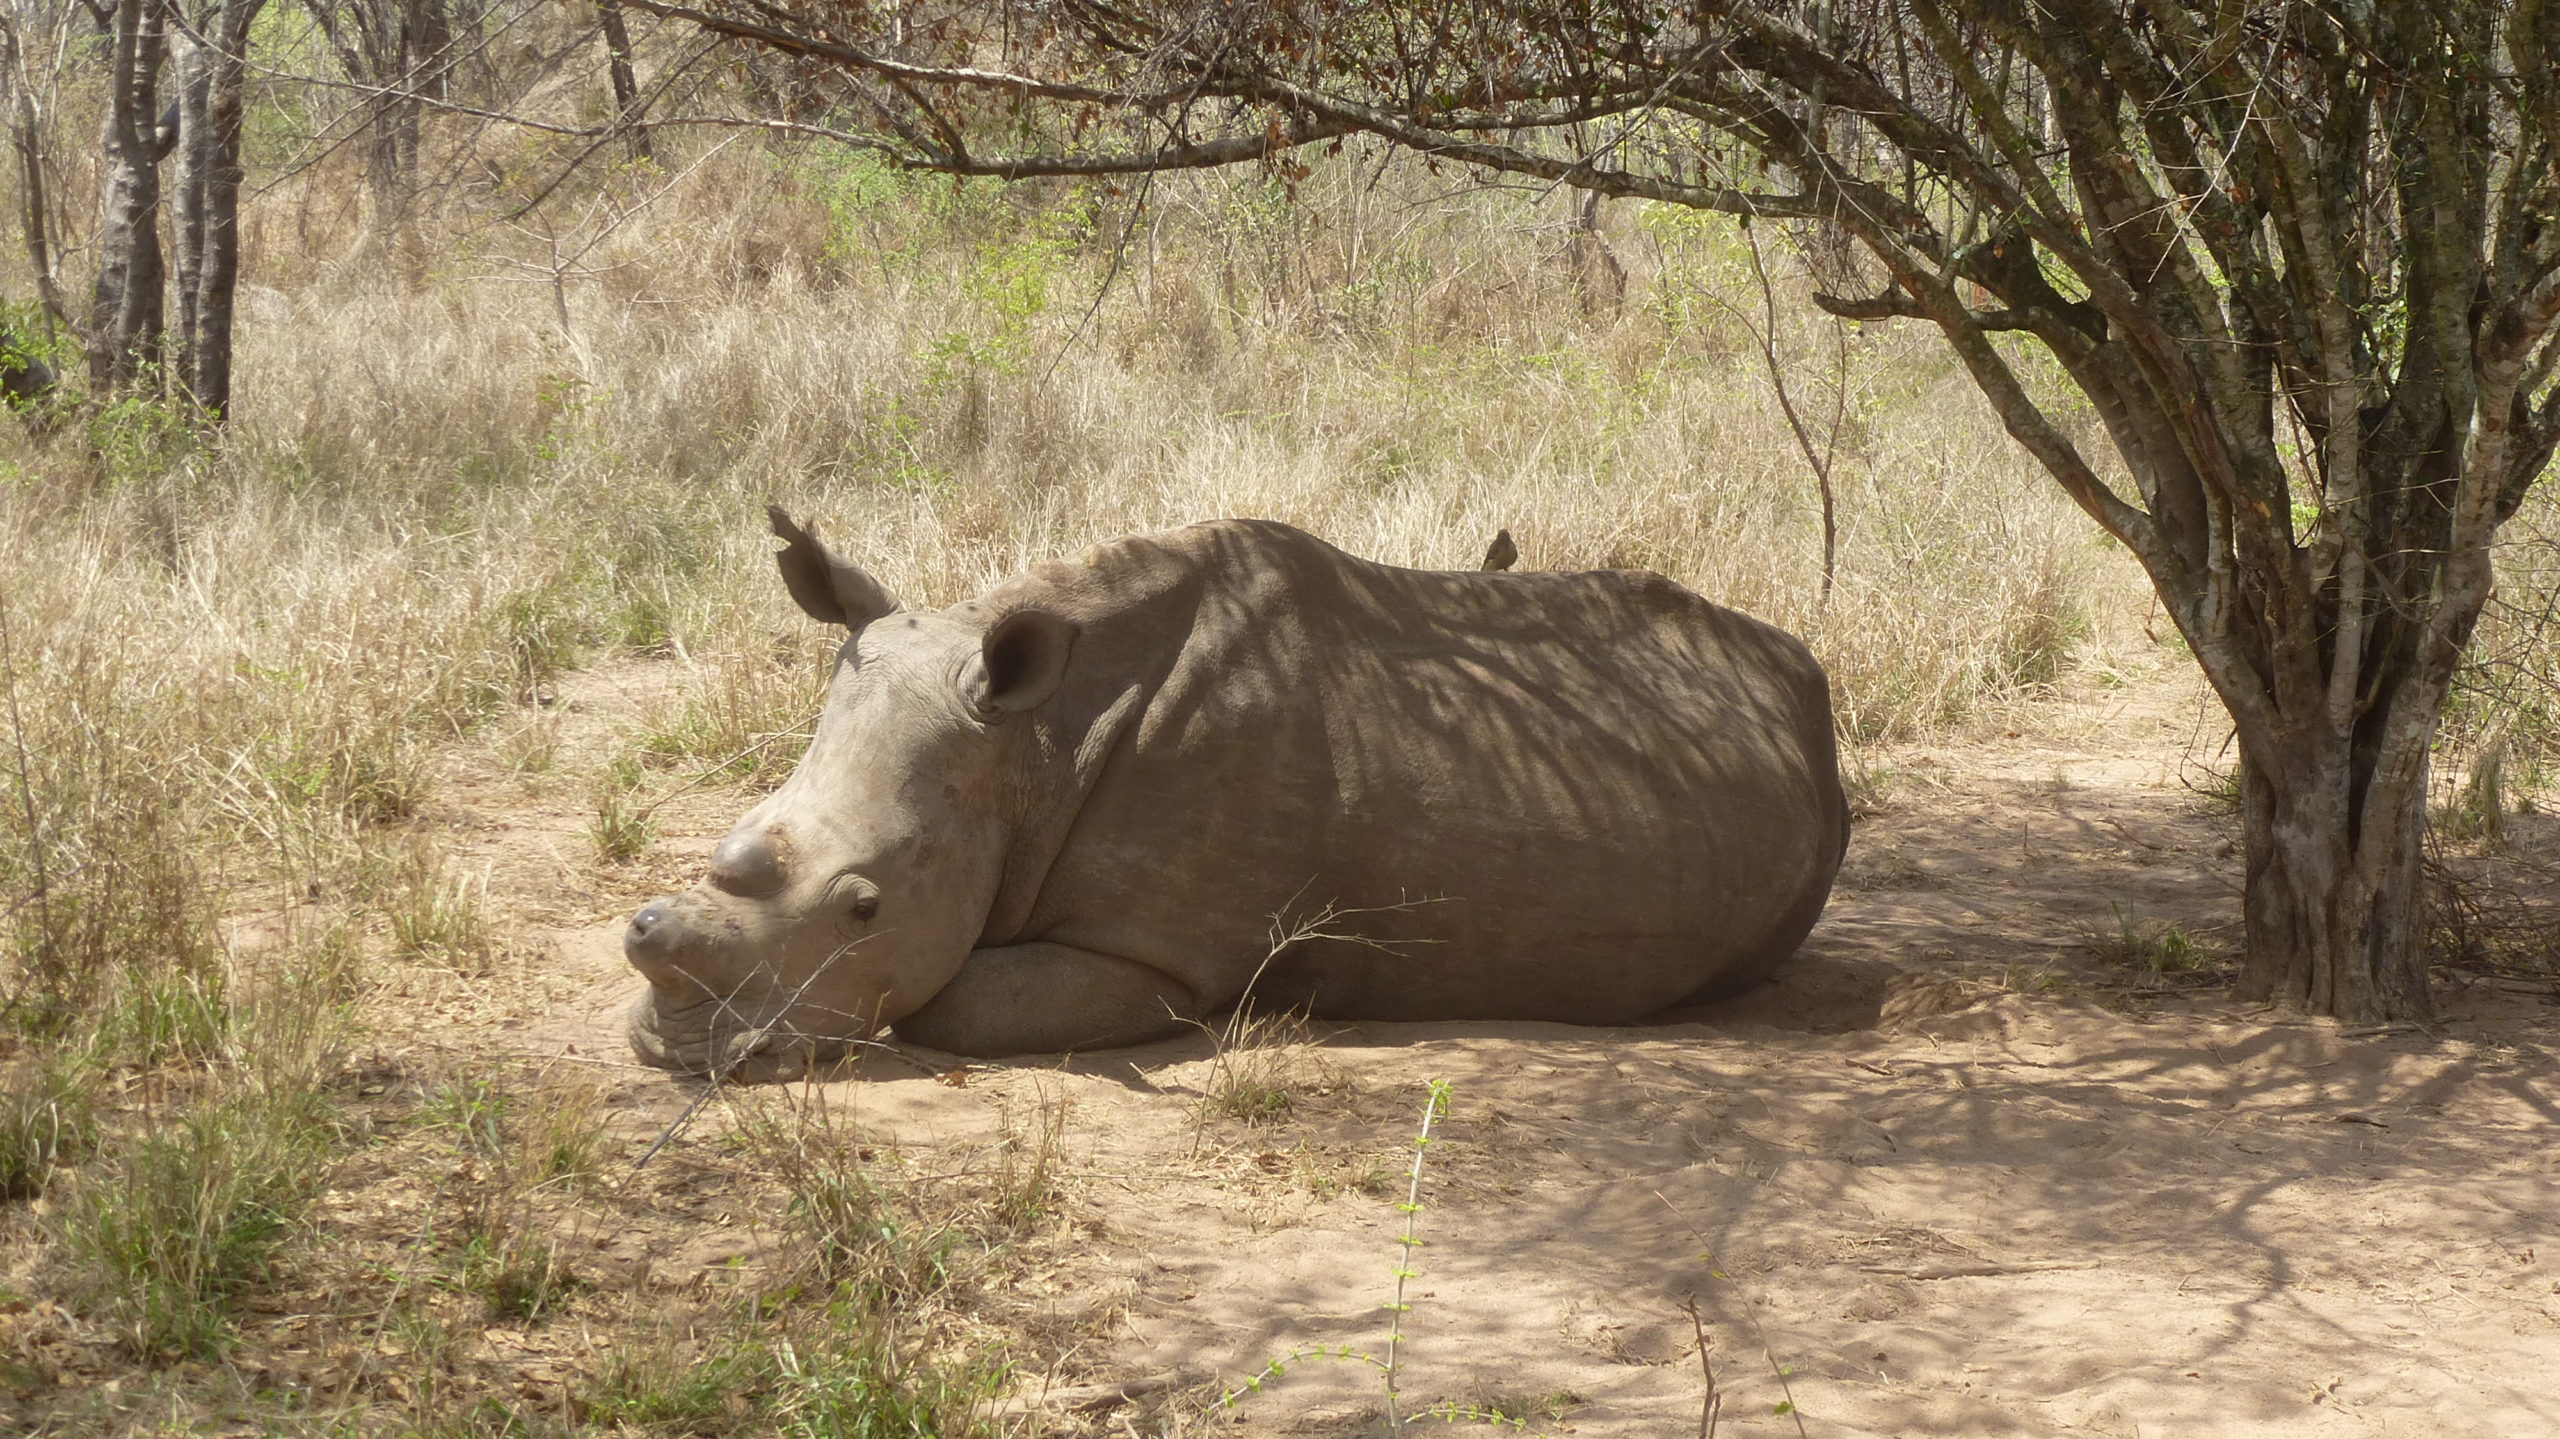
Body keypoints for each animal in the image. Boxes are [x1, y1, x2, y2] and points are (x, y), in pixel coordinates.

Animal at [629, 509, 1853, 1070]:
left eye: (864, 908)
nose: (671, 1044)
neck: (1030, 746)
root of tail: (1803, 676)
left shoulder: (1158, 954)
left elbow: (948, 1001)